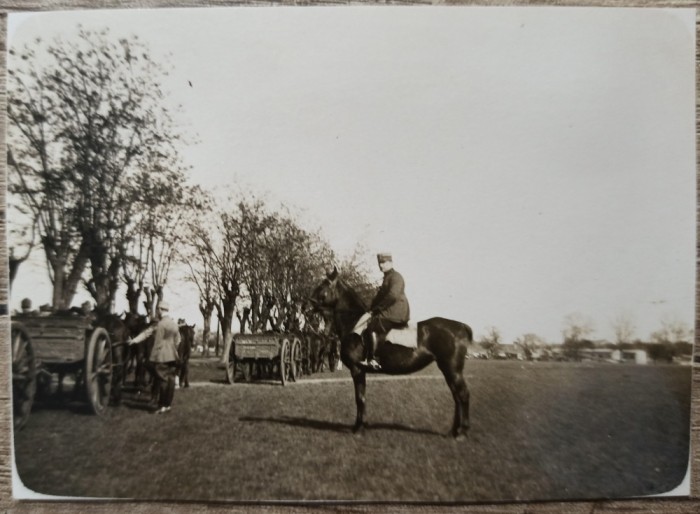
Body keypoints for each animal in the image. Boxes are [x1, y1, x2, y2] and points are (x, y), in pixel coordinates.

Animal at [310, 266, 470, 438]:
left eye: (324, 284)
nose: (309, 302)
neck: (354, 324)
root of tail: (460, 326)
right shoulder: (360, 371)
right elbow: (362, 397)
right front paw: (361, 425)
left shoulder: (357, 369)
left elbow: (360, 398)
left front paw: (358, 428)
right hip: (447, 369)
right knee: (456, 396)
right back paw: (454, 431)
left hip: (452, 369)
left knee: (463, 394)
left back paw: (462, 432)